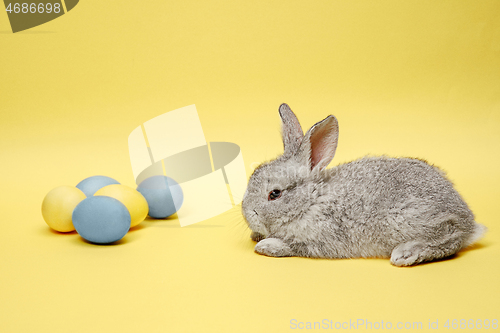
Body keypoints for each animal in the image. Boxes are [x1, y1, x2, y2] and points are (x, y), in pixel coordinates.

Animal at [240, 103, 486, 264]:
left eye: (275, 194)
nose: (247, 213)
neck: (312, 200)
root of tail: (469, 221)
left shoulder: (321, 239)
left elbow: (293, 247)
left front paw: (266, 245)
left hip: (408, 219)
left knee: (450, 238)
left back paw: (406, 254)